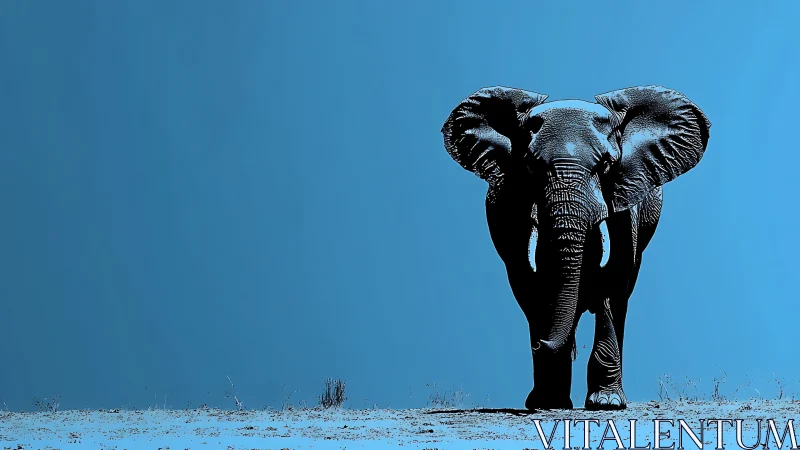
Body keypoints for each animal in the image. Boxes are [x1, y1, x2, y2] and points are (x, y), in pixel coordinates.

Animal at [440, 85, 711, 410]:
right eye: (531, 165)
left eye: (605, 165)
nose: (540, 343)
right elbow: (532, 285)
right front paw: (550, 401)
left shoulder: (625, 200)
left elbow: (613, 281)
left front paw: (606, 403)